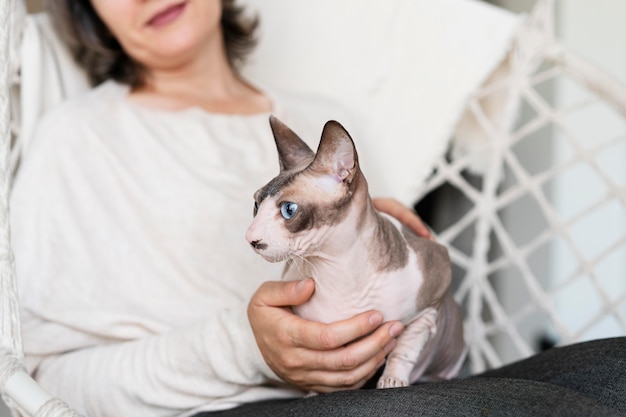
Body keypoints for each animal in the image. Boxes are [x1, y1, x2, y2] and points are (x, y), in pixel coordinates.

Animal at [244, 116, 464, 386]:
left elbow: (405, 349)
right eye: (256, 205)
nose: (250, 238)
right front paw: (314, 391)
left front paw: (392, 380)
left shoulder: (433, 298)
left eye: (288, 210)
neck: (335, 268)